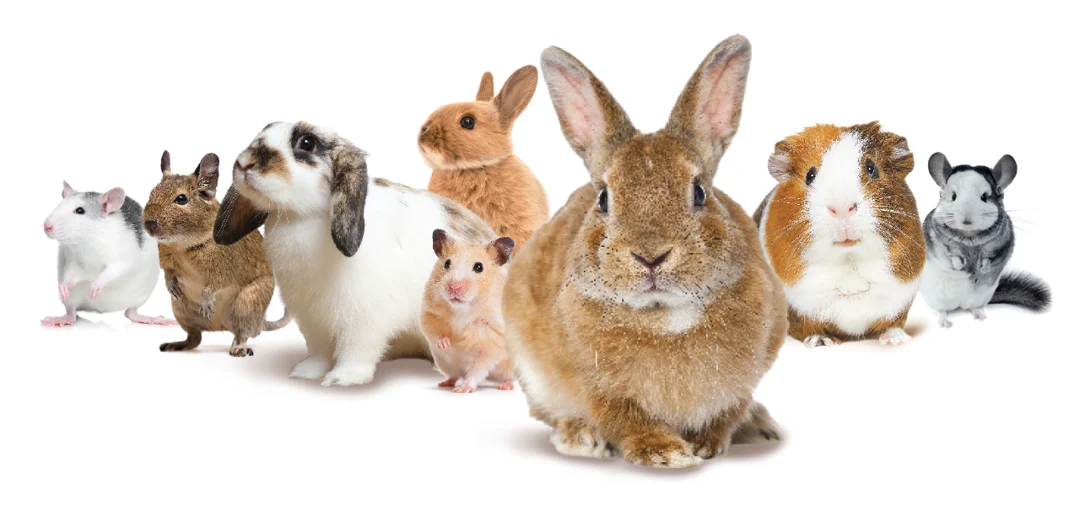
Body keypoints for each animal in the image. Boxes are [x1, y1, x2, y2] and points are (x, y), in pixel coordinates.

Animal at [143, 149, 289, 356]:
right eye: (152, 192)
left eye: (181, 199)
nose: (148, 224)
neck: (182, 246)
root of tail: (221, 326)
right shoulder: (167, 261)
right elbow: (168, 274)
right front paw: (172, 287)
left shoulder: (223, 269)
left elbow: (214, 286)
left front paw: (206, 303)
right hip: (180, 310)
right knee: (195, 338)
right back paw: (176, 344)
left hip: (247, 303)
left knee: (242, 333)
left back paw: (239, 348)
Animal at [501, 34, 790, 470]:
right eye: (604, 198)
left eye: (699, 192)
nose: (650, 257)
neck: (665, 316)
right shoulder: (599, 390)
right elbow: (626, 419)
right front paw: (667, 453)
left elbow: (726, 413)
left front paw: (706, 444)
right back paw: (580, 438)